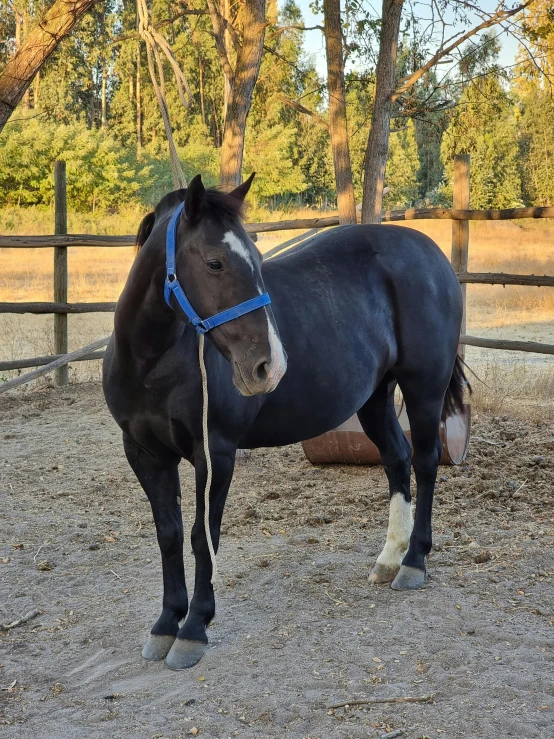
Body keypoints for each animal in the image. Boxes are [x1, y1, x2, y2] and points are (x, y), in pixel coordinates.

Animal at [102, 173, 466, 672]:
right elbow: (169, 535)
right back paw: (390, 557)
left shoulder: (214, 455)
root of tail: (431, 254)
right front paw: (165, 624)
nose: (269, 367)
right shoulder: (144, 454)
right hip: (374, 398)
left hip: (423, 389)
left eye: (257, 261)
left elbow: (202, 537)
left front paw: (193, 628)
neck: (154, 362)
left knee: (426, 462)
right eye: (215, 263)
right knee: (397, 458)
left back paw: (414, 562)